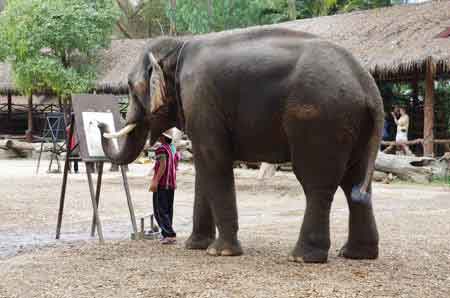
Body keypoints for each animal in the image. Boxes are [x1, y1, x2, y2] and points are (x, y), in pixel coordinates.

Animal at [100, 26, 384, 262]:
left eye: (130, 86)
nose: (101, 126)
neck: (179, 46)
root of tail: (368, 84)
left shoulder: (201, 100)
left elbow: (214, 162)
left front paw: (220, 252)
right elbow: (204, 169)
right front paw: (195, 246)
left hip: (320, 119)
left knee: (317, 183)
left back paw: (302, 258)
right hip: (352, 124)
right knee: (355, 182)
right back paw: (355, 254)